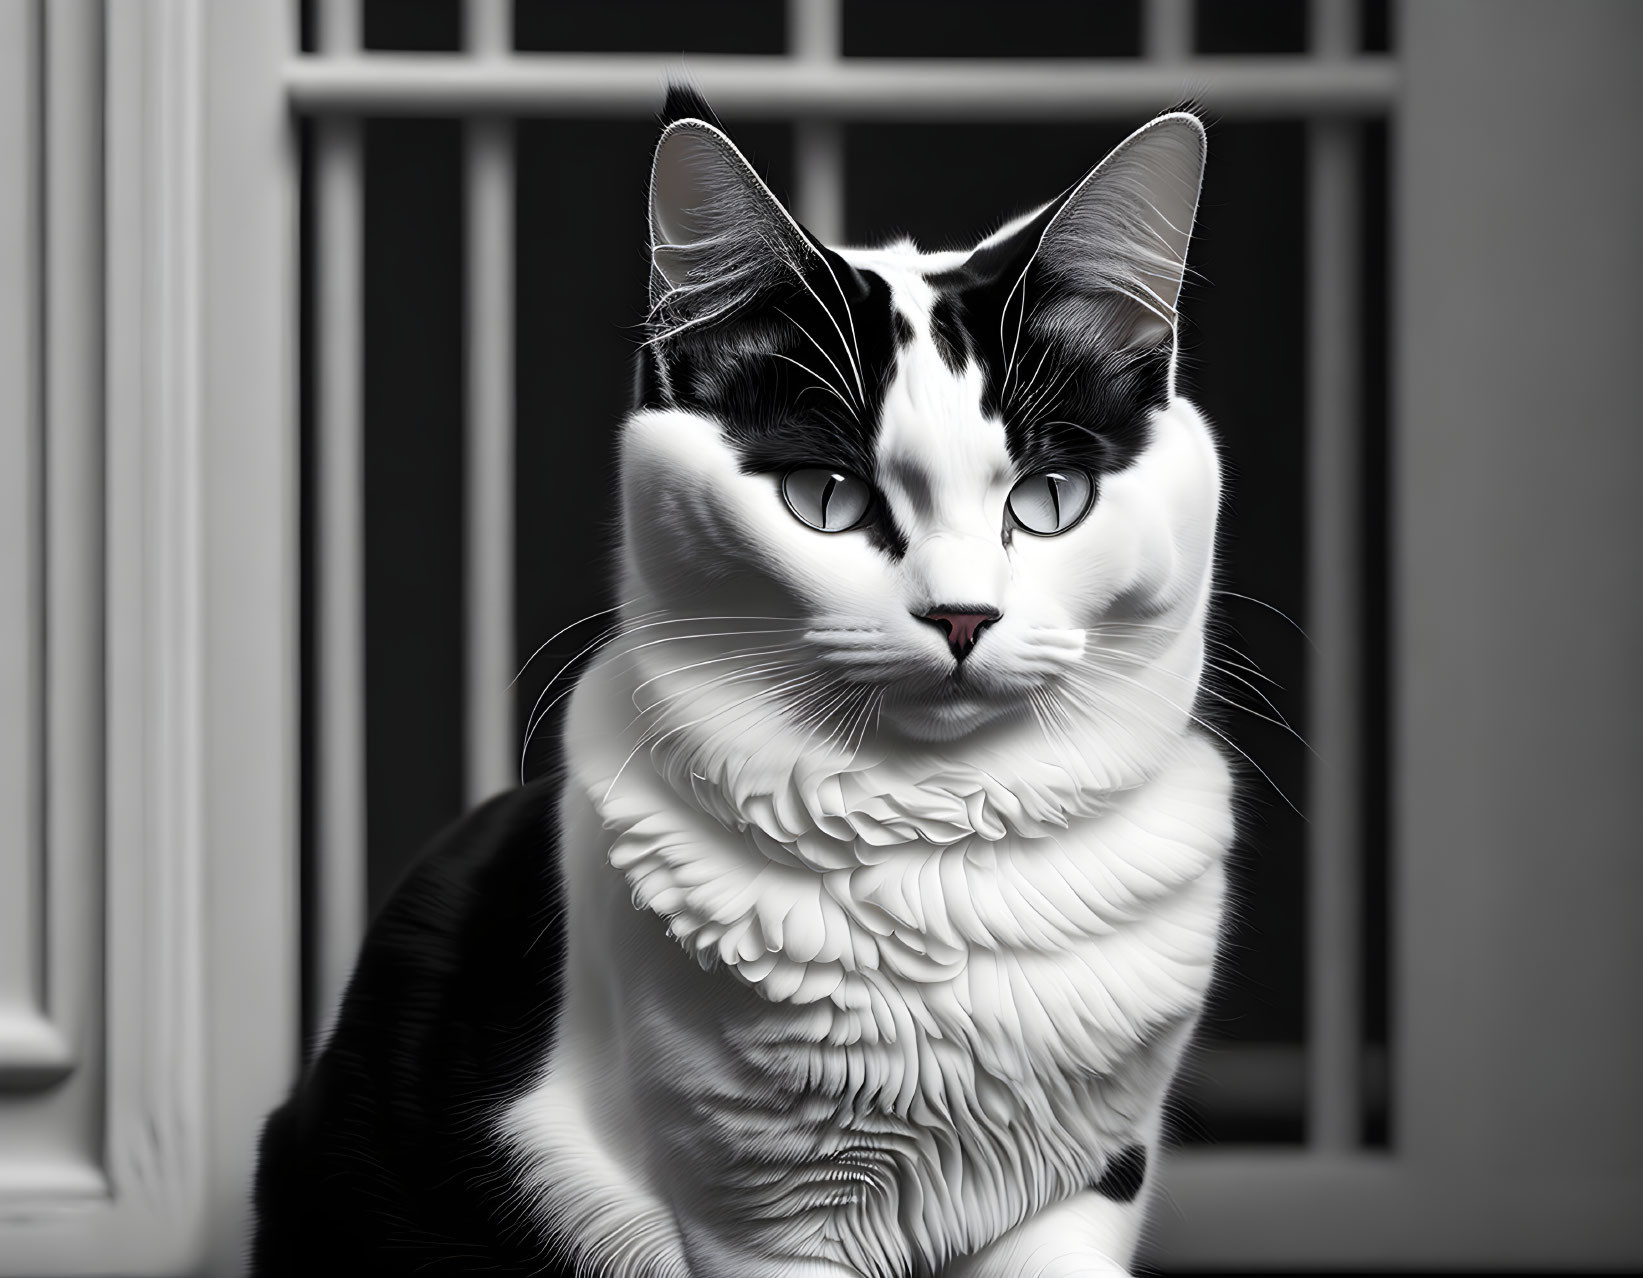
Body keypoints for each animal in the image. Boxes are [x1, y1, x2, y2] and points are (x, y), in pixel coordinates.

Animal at [249, 91, 1235, 1274]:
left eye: (1050, 501)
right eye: (824, 498)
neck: (941, 852)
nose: (961, 617)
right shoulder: (760, 1217)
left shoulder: (1083, 1184)